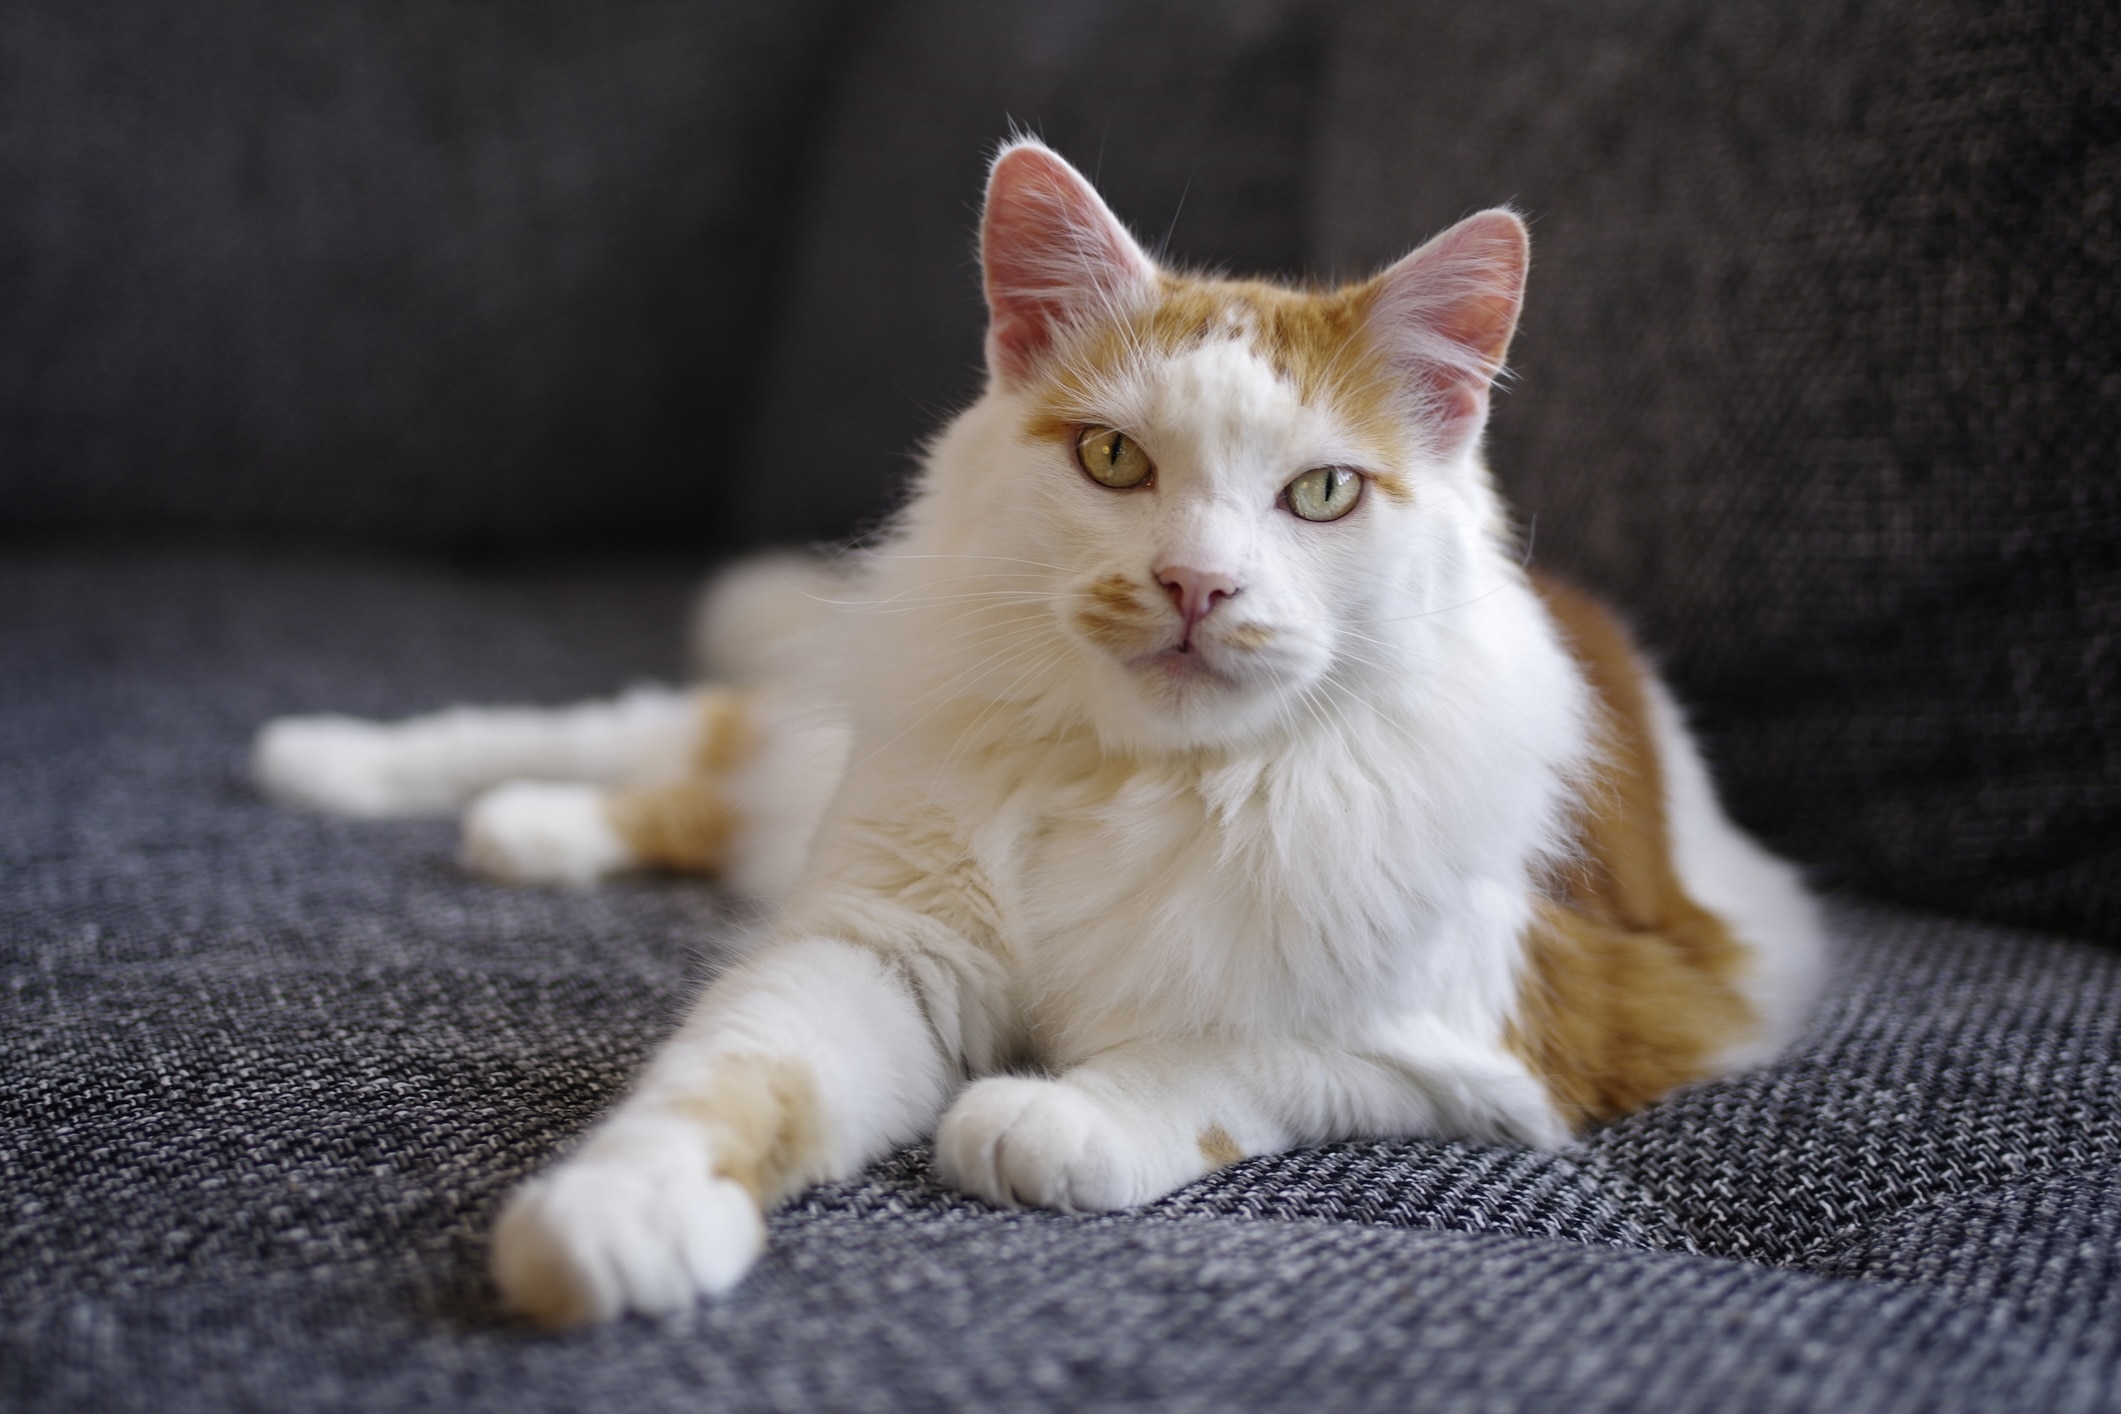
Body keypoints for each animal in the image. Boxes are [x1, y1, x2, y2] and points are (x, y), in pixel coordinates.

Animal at [252, 140, 1824, 1331]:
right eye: (1114, 459)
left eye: (1320, 494)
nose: (1197, 585)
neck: (1149, 778)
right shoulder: (886, 947)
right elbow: (731, 1076)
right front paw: (615, 1215)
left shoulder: (1498, 1036)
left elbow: (1233, 1057)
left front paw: (1051, 1121)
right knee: (658, 740)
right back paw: (355, 768)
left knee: (686, 786)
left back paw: (519, 826)